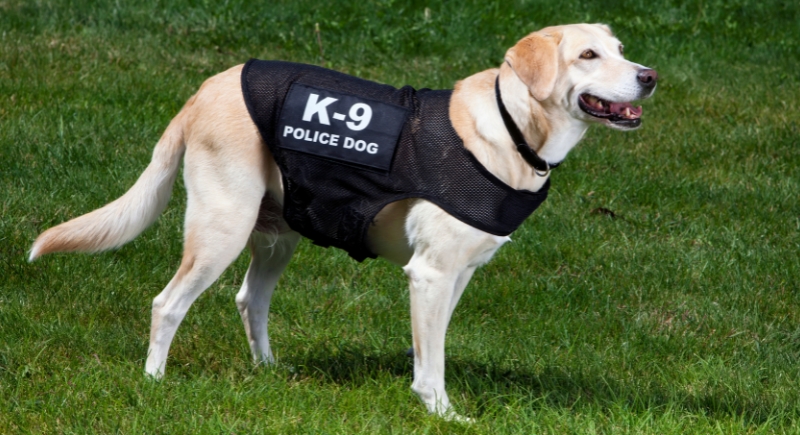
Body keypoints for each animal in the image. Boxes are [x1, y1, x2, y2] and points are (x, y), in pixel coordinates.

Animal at [30, 23, 657, 420]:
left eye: (621, 49)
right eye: (588, 56)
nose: (649, 76)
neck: (512, 127)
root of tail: (206, 87)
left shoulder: (457, 277)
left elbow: (434, 348)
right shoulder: (431, 275)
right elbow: (433, 363)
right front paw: (442, 413)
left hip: (278, 235)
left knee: (249, 300)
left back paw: (268, 370)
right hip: (221, 230)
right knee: (168, 303)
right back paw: (154, 382)